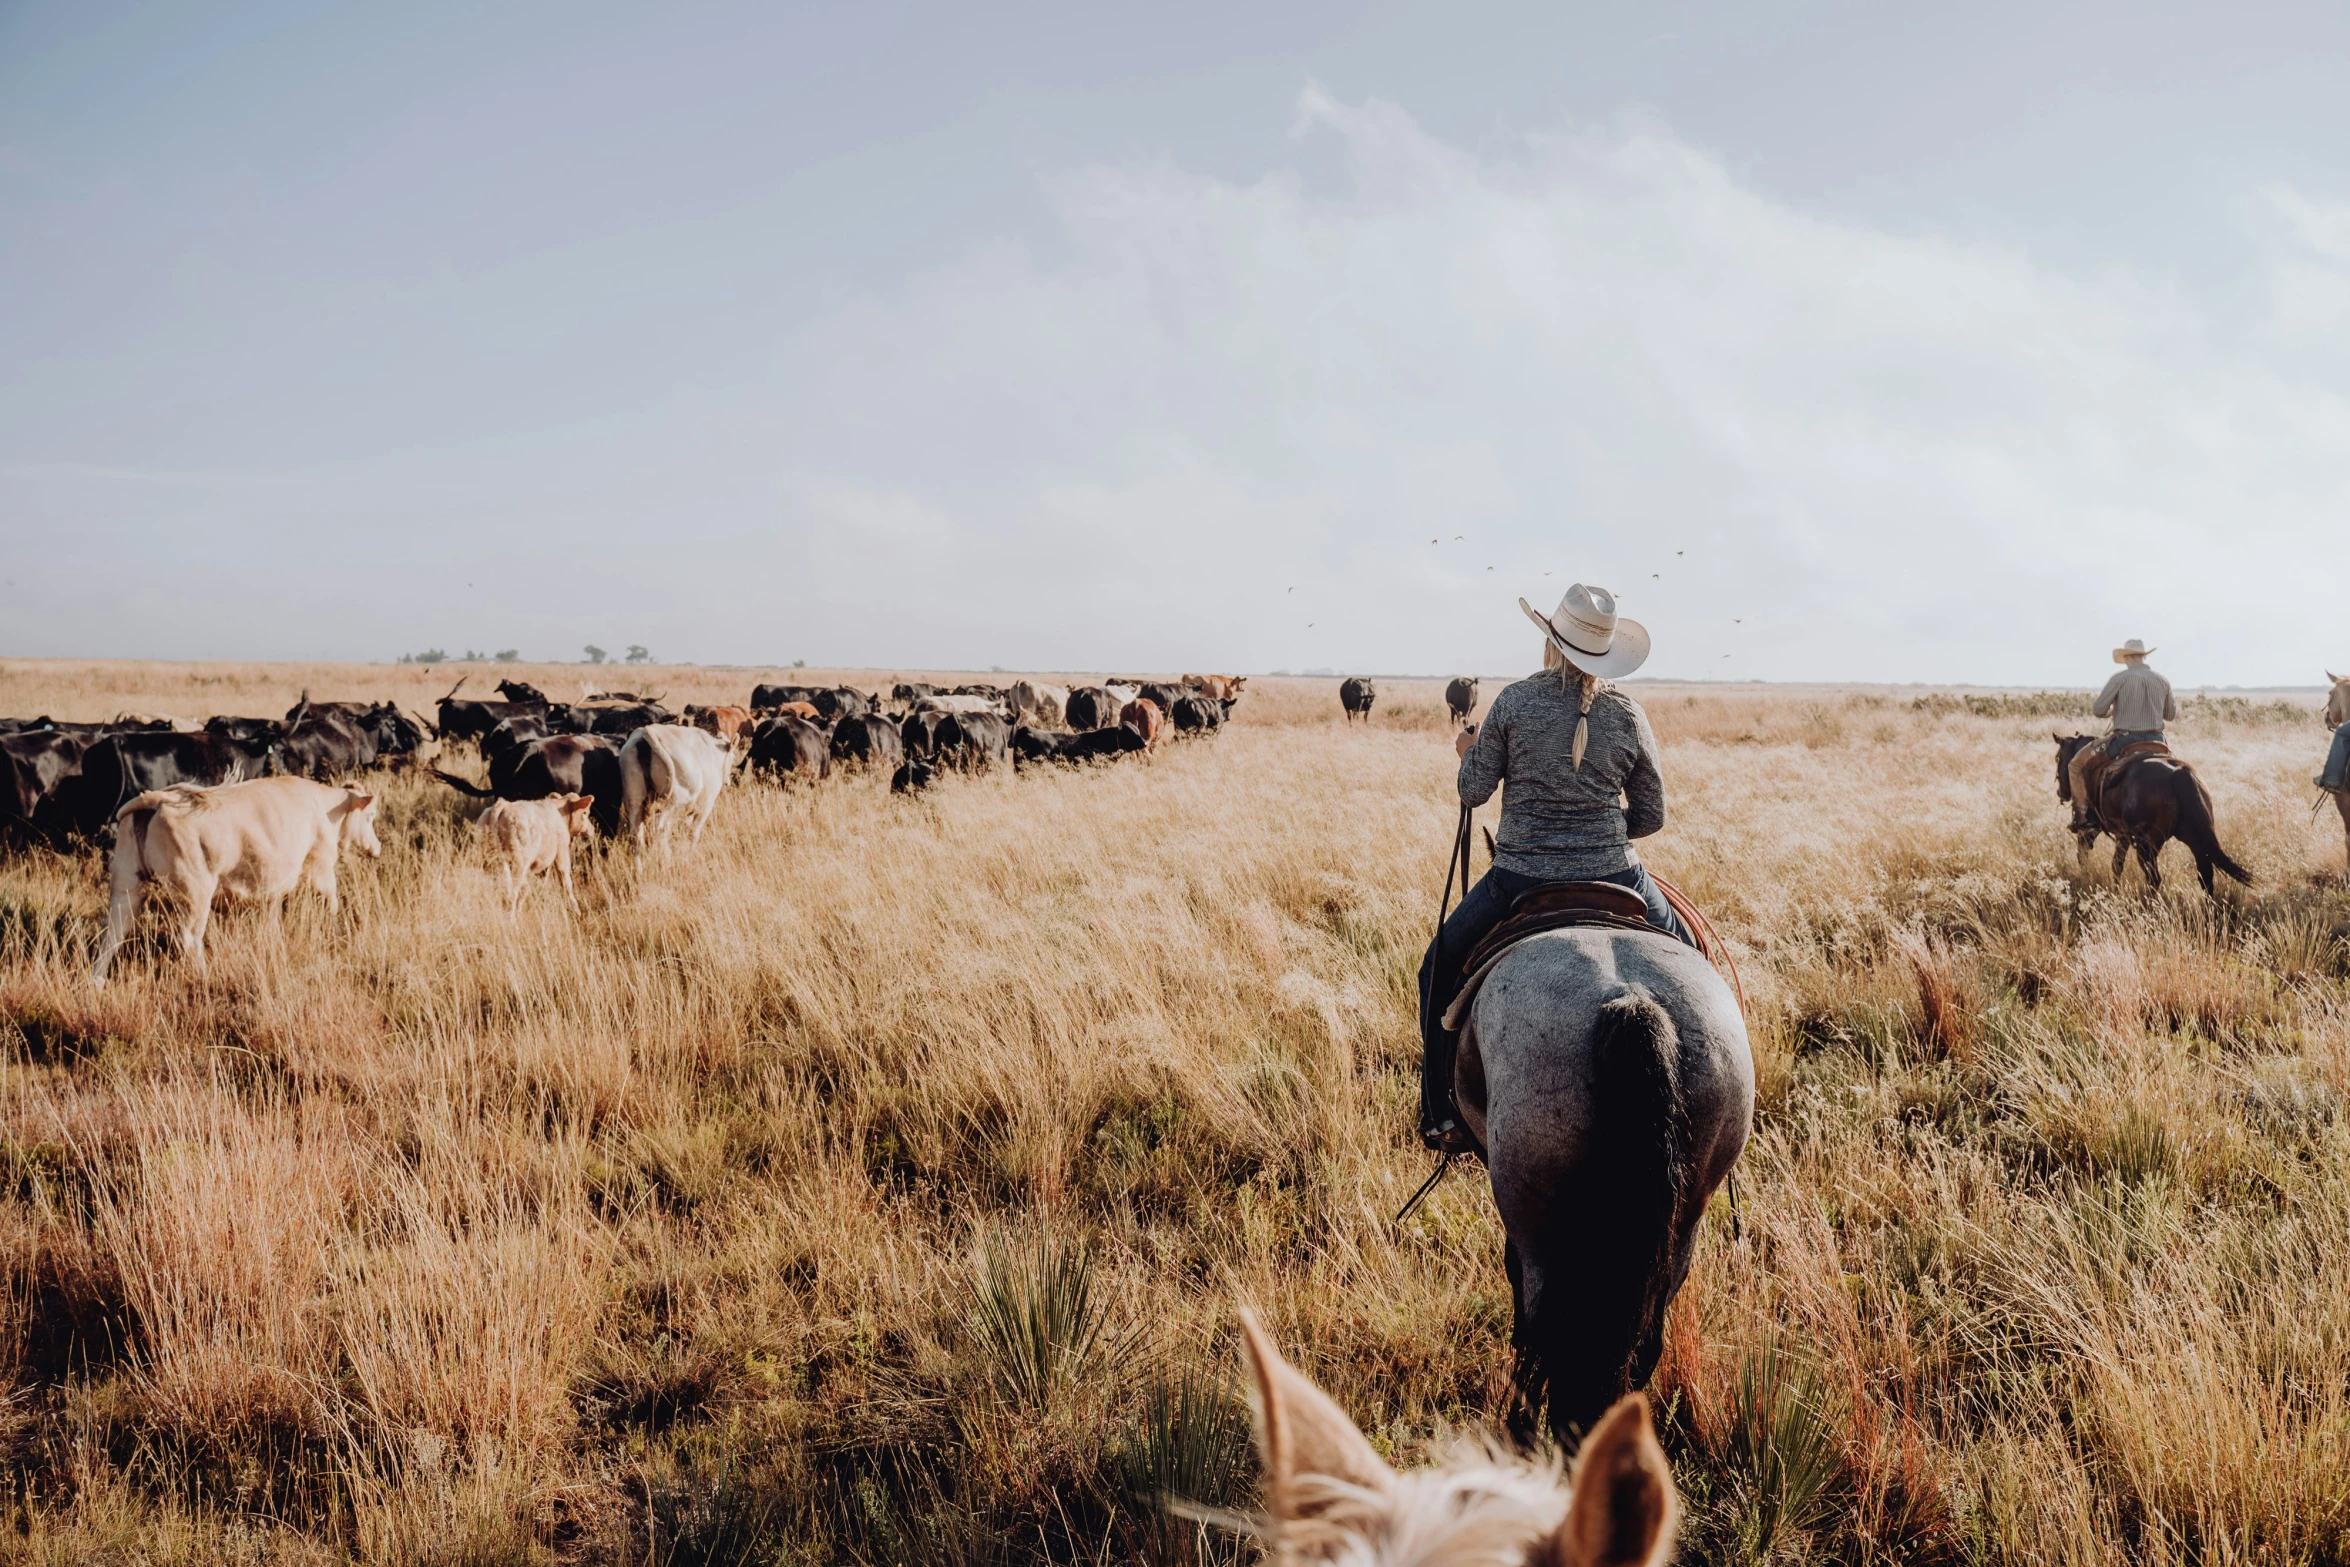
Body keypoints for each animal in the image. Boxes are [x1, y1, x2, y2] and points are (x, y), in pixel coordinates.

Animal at [91, 779, 383, 986]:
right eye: (370, 816)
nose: (377, 848)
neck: (322, 808)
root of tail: (163, 798)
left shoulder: (272, 889)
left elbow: (271, 925)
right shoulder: (321, 870)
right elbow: (331, 905)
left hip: (127, 885)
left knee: (113, 934)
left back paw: (97, 982)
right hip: (195, 893)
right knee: (189, 939)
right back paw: (205, 977)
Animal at [615, 728, 733, 859]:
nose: (729, 780)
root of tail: (647, 730)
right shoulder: (706, 805)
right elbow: (694, 832)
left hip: (634, 799)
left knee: (635, 834)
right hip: (676, 801)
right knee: (659, 827)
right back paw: (667, 859)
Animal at [1447, 920, 1748, 1447]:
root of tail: (1631, 1002)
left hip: (1539, 1226)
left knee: (1540, 1337)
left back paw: (1520, 1440)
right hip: (1683, 1223)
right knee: (1640, 1343)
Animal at [2058, 737, 2256, 892]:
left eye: (2058, 758)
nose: (2062, 792)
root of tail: (2179, 771)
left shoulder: (2100, 829)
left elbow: (2094, 856)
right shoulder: (2123, 834)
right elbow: (2116, 864)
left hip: (2148, 844)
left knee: (2154, 878)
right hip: (2194, 839)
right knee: (2205, 877)